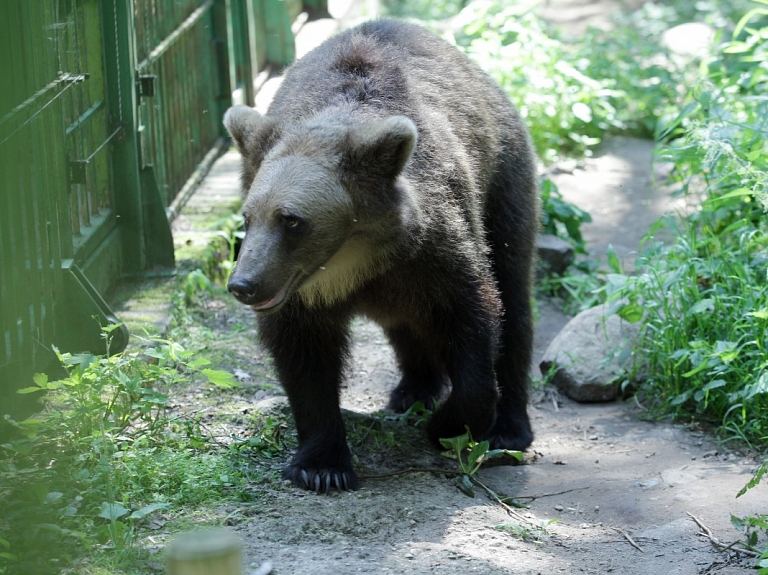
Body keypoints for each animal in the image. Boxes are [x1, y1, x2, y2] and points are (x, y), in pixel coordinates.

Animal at [222, 20, 536, 492]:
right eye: (247, 215)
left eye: (291, 220)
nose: (244, 284)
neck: (353, 263)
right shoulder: (302, 293)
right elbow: (303, 357)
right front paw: (322, 465)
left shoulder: (436, 252)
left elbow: (473, 320)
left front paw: (449, 425)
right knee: (406, 322)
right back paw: (413, 389)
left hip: (503, 186)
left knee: (513, 295)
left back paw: (509, 428)